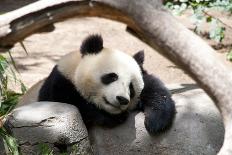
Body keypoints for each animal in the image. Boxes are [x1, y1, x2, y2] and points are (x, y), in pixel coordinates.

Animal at [18, 34, 175, 133]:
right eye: (111, 77)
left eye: (131, 87)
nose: (122, 99)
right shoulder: (61, 81)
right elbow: (73, 103)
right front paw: (113, 117)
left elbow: (155, 88)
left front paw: (156, 121)